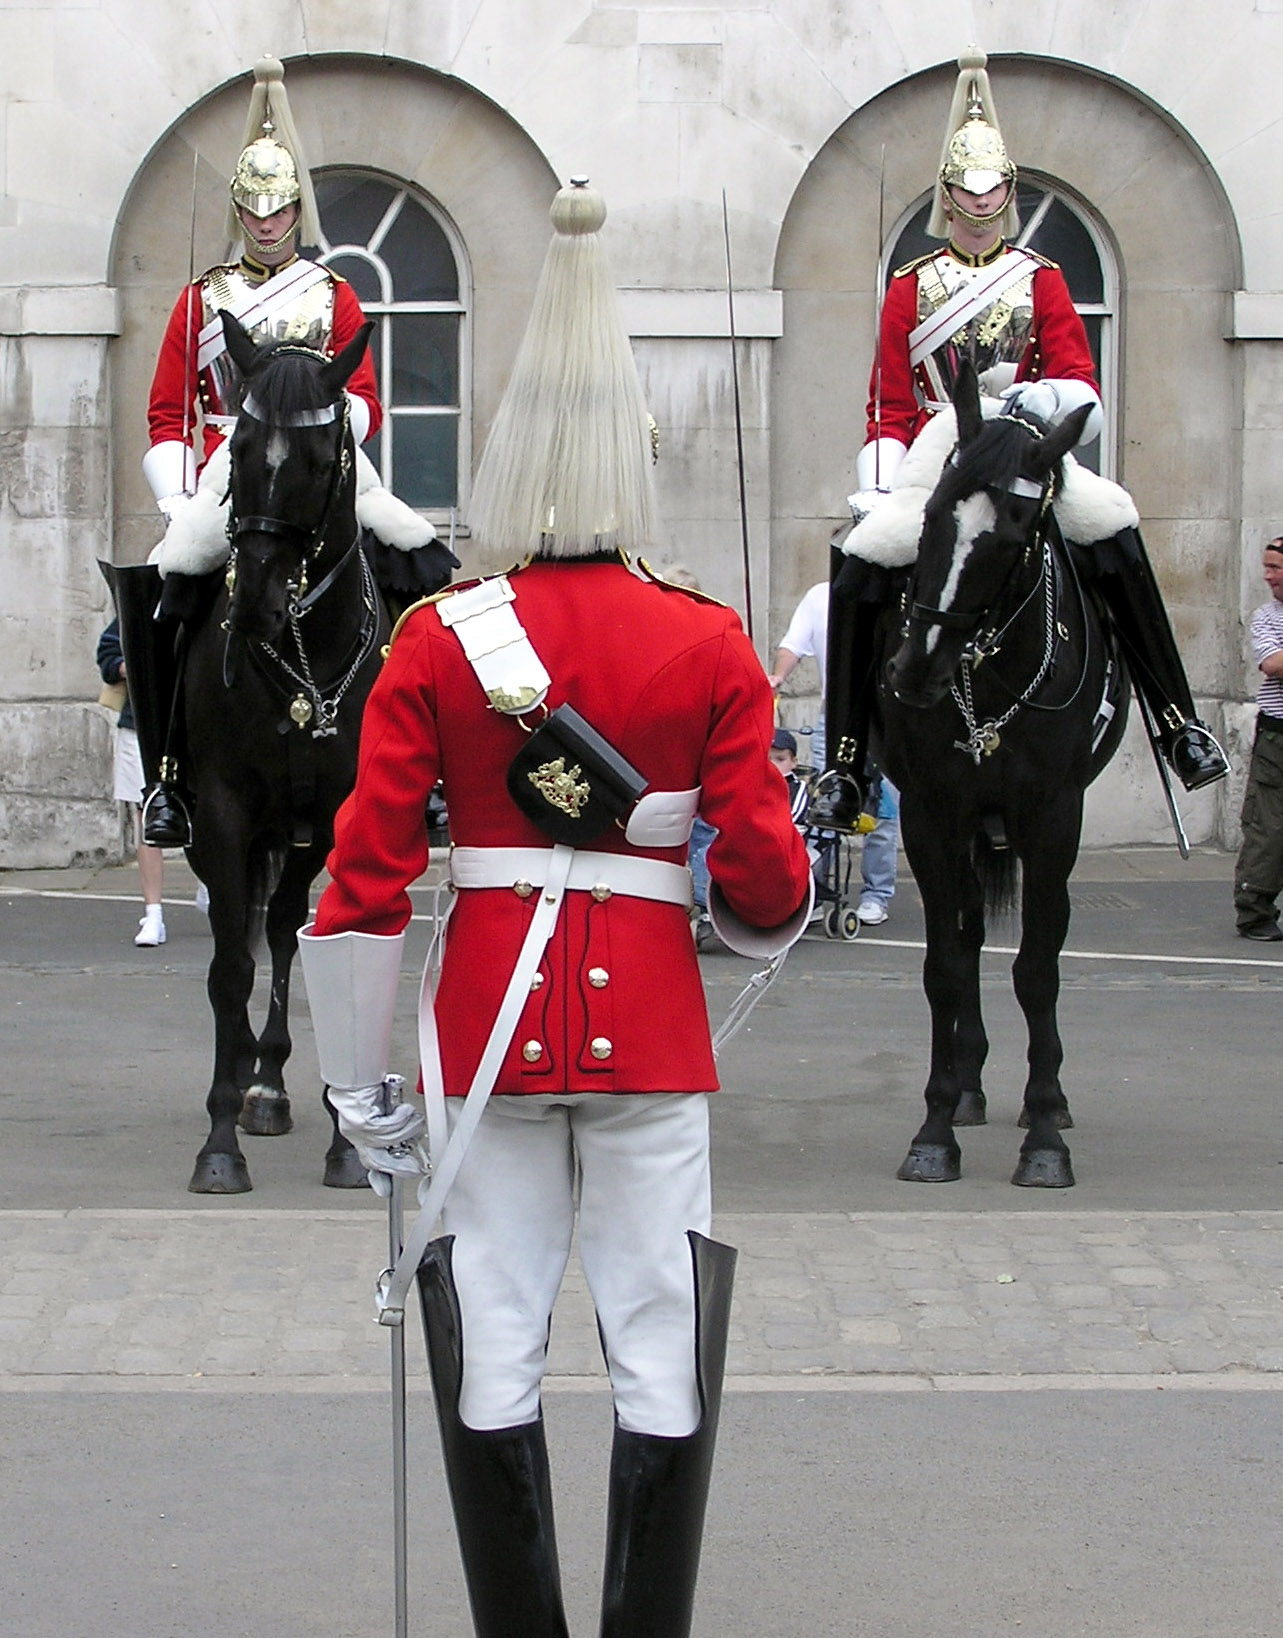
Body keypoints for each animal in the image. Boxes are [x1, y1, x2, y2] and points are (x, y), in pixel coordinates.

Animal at [878, 368, 1127, 1192]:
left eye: (1014, 534)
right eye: (930, 514)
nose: (913, 674)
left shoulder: (1052, 816)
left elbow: (1038, 971)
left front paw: (1045, 1132)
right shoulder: (929, 814)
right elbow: (946, 968)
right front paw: (933, 1128)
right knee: (967, 934)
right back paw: (966, 1089)